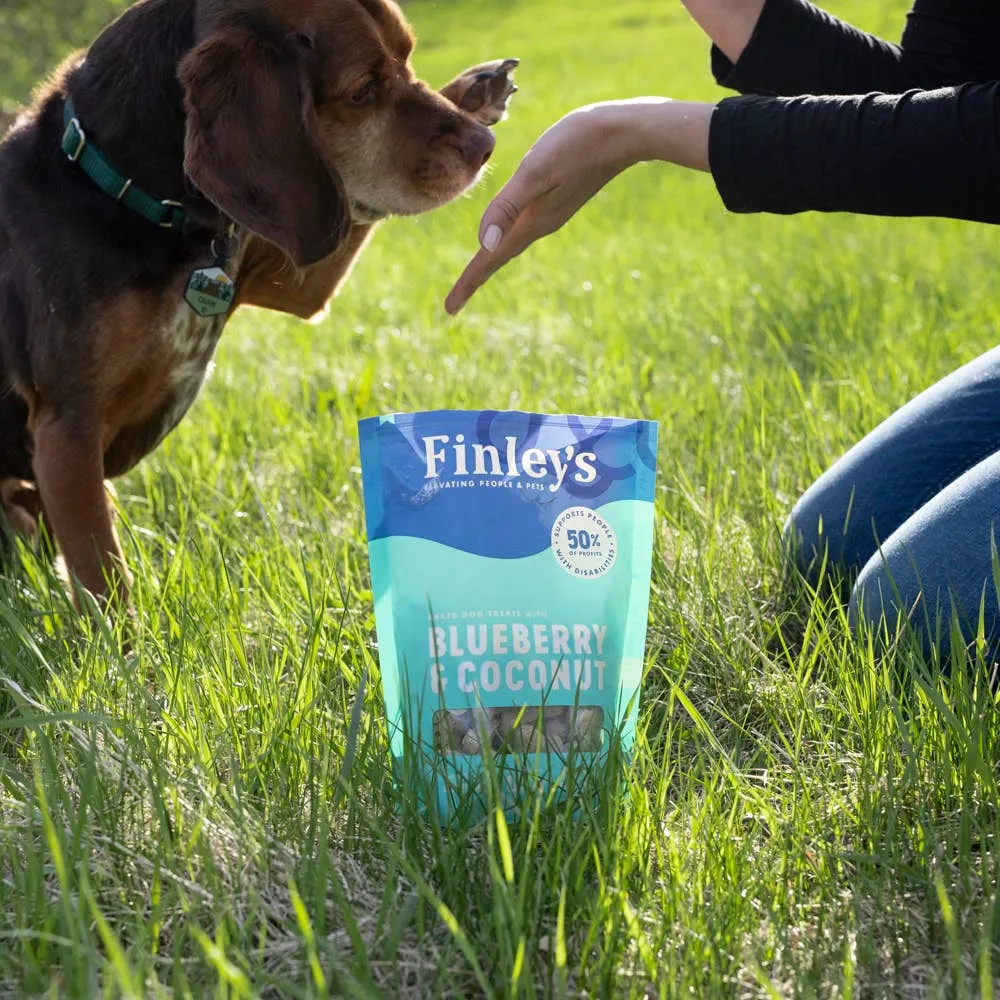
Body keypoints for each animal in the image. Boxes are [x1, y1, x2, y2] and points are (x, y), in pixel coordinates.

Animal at [0, 0, 516, 608]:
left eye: (407, 56)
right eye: (363, 90)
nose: (483, 147)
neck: (126, 193)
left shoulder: (299, 273)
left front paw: (477, 88)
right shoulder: (67, 434)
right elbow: (106, 582)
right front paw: (129, 637)